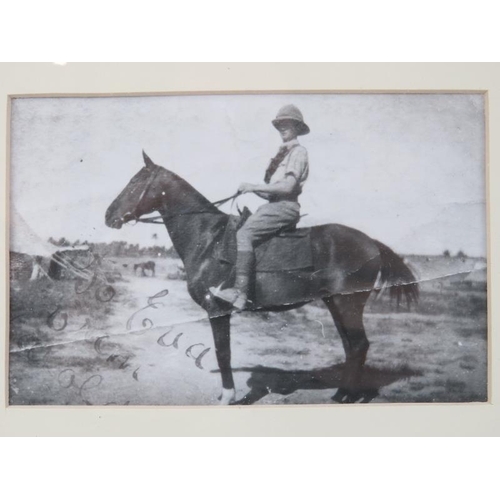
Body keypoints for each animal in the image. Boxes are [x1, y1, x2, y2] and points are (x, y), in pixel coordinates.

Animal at [105, 150, 418, 404]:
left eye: (134, 183)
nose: (108, 216)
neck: (208, 239)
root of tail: (371, 242)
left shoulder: (217, 310)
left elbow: (223, 352)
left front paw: (228, 396)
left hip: (347, 304)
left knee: (359, 345)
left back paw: (347, 395)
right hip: (336, 304)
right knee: (351, 346)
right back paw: (342, 392)